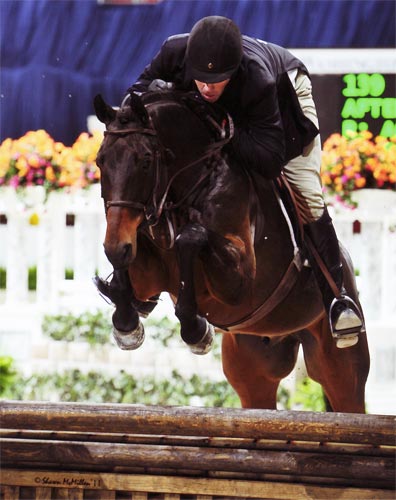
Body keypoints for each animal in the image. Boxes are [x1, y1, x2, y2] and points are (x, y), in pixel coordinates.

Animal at [93, 91, 372, 414]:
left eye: (146, 161)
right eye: (100, 161)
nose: (116, 245)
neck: (192, 184)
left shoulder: (239, 282)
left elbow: (191, 238)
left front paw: (196, 329)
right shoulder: (146, 269)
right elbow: (132, 266)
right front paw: (126, 323)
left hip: (339, 367)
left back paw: (343, 313)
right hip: (252, 371)